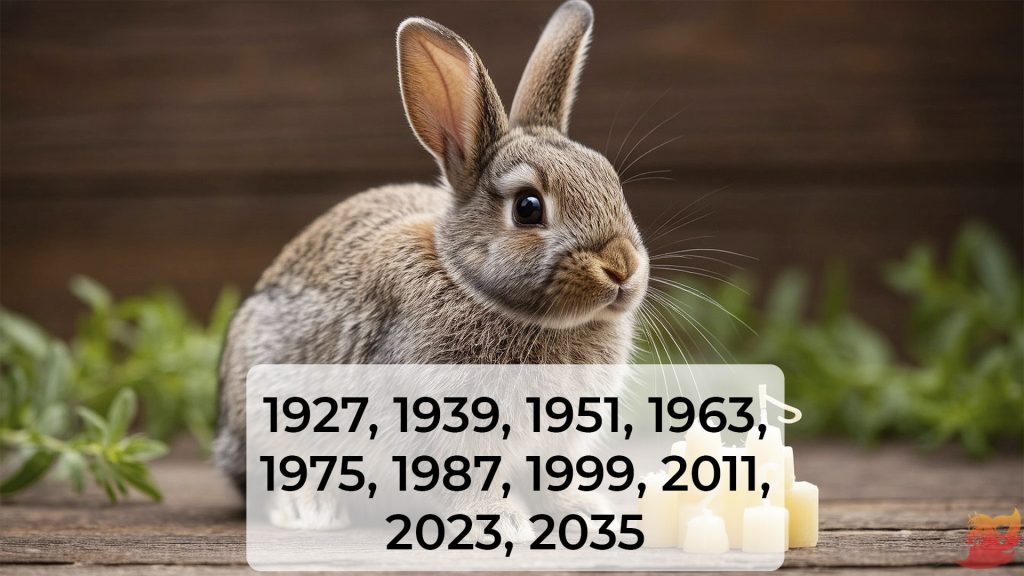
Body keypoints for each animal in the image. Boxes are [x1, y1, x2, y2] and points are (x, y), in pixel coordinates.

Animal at [214, 0, 649, 541]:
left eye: (611, 181)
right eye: (528, 208)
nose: (622, 268)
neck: (471, 283)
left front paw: (590, 511)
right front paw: (504, 522)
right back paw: (311, 510)